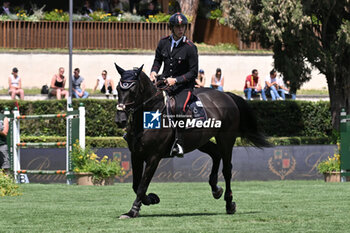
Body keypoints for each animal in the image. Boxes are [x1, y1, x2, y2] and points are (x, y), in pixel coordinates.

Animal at [115, 63, 270, 218]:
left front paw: (134, 210)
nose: (120, 120)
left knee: (227, 169)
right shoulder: (136, 154)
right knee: (216, 154)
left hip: (226, 139)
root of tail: (226, 95)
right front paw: (151, 199)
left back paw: (229, 203)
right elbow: (136, 185)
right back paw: (216, 189)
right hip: (201, 141)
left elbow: (142, 185)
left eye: (133, 90)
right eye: (117, 88)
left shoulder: (154, 157)